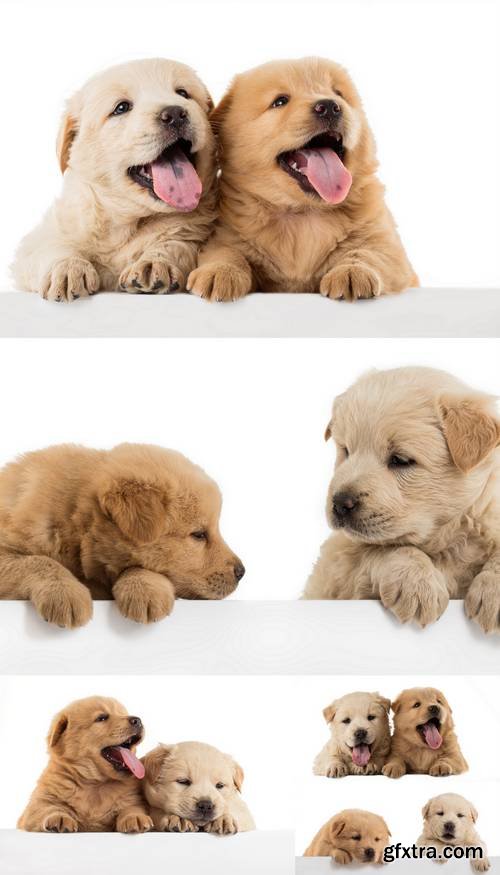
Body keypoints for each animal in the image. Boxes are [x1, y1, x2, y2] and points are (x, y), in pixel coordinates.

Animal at [12, 59, 216, 302]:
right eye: (121, 108)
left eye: (183, 93)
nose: (175, 113)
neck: (127, 222)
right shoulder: (41, 236)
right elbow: (52, 245)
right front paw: (67, 269)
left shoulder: (195, 231)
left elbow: (177, 244)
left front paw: (153, 264)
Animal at [18, 700, 152, 836]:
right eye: (102, 718)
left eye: (123, 713)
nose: (137, 720)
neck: (95, 784)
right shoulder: (37, 804)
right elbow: (47, 808)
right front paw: (59, 817)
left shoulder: (132, 799)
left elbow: (131, 808)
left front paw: (134, 817)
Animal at [188, 56, 418, 302]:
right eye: (280, 101)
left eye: (338, 93)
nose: (330, 106)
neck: (303, 214)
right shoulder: (225, 236)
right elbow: (227, 252)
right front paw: (219, 272)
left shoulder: (387, 245)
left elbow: (368, 252)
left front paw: (352, 272)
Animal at [302, 366, 500, 632]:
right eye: (346, 451)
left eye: (400, 460)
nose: (340, 503)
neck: (447, 541)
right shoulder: (338, 563)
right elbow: (386, 547)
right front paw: (417, 584)